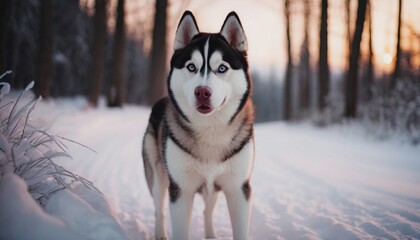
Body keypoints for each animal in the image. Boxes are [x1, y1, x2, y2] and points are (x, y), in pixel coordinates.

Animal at [143, 10, 254, 239]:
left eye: (222, 68)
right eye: (191, 67)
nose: (202, 92)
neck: (210, 130)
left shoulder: (238, 188)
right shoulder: (181, 189)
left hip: (212, 189)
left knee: (207, 210)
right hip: (157, 175)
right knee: (159, 208)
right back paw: (160, 233)